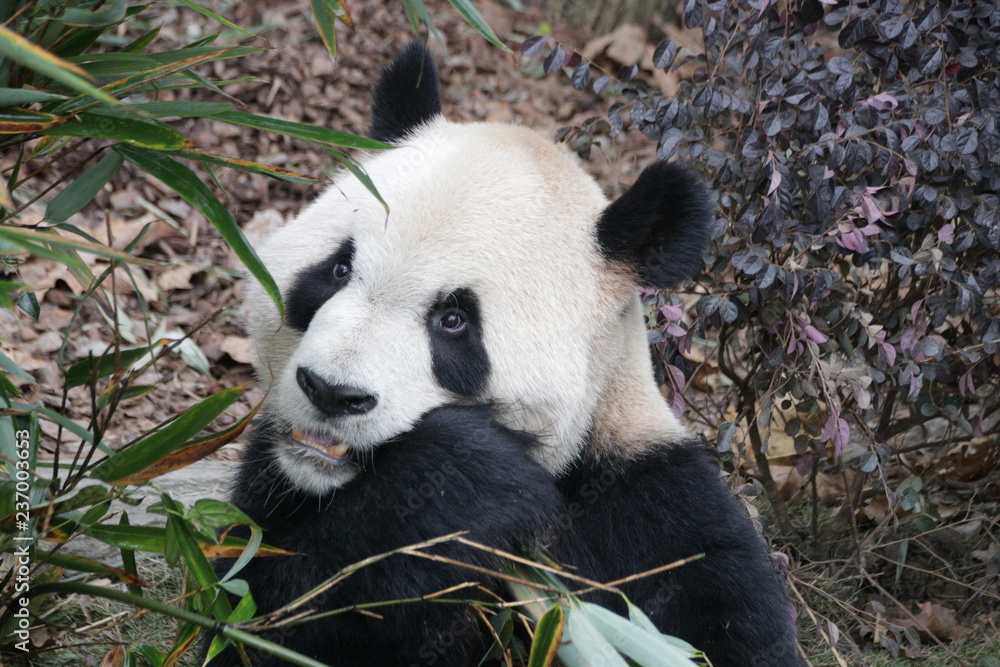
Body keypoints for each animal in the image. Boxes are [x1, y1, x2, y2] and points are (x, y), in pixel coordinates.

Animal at [212, 41, 802, 667]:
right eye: (338, 270)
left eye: (453, 321)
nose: (331, 392)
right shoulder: (270, 484)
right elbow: (258, 612)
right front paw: (463, 479)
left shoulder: (657, 514)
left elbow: (715, 624)